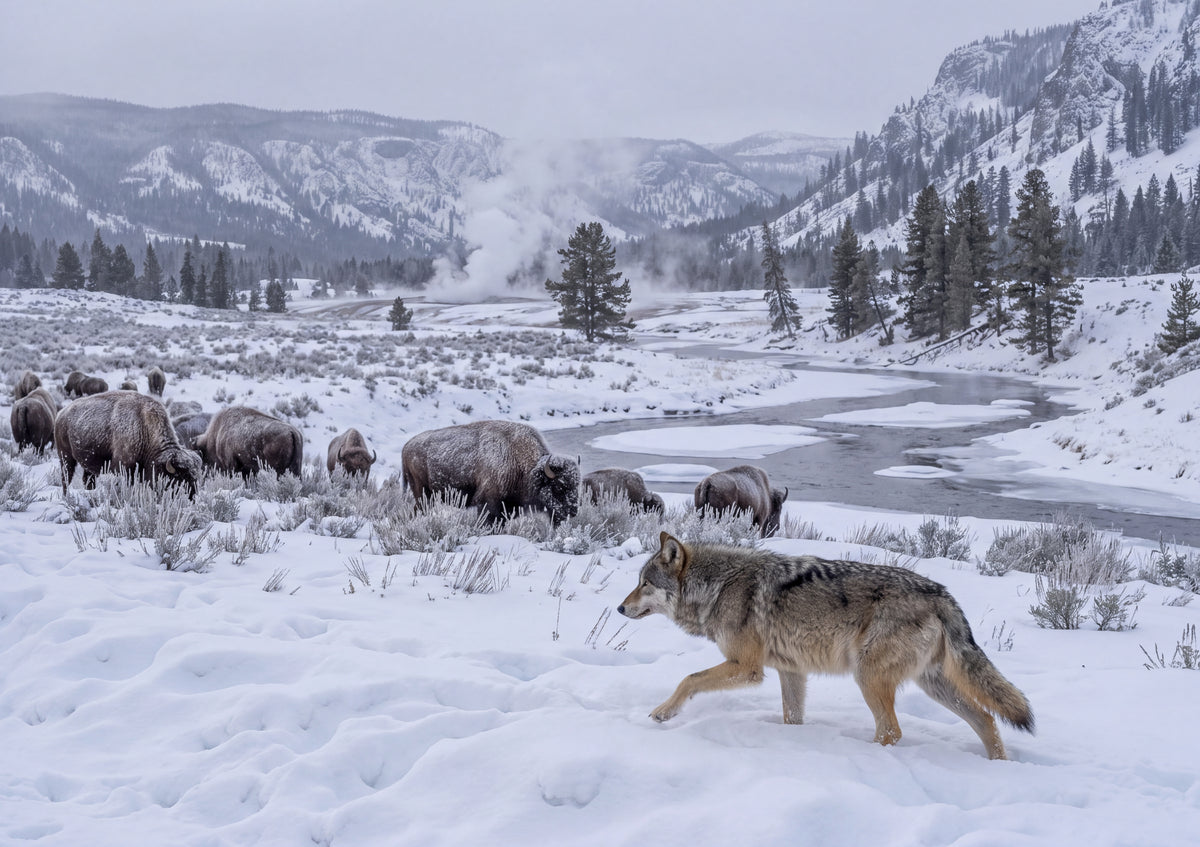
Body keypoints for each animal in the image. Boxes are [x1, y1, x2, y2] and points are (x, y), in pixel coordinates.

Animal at [618, 532, 1034, 759]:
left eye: (644, 583)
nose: (620, 608)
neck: (718, 586)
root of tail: (943, 594)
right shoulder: (790, 671)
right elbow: (792, 717)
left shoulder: (747, 667)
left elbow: (688, 679)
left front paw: (663, 713)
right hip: (932, 684)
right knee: (987, 720)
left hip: (868, 677)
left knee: (892, 732)